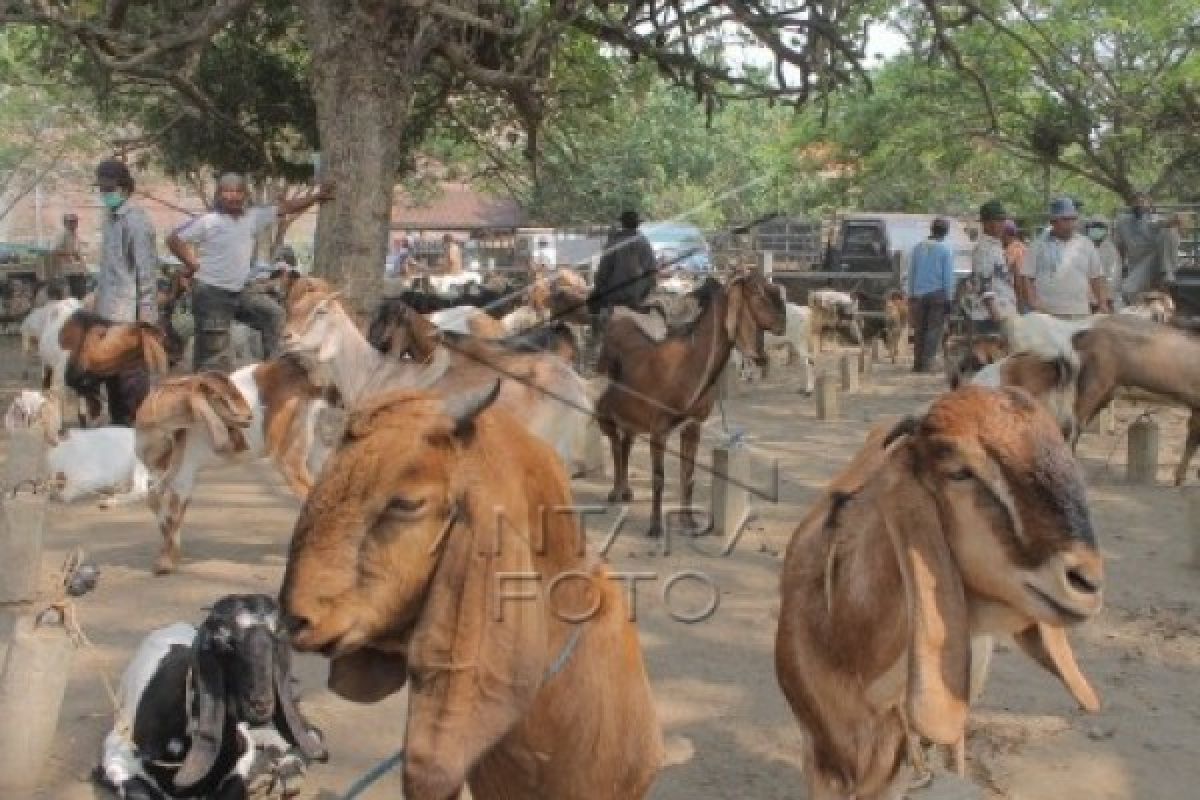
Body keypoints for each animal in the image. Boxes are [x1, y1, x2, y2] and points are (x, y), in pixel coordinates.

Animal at [95, 594, 326, 800]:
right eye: (224, 642)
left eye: (276, 639)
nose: (261, 704)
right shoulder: (116, 755)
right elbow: (138, 791)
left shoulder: (241, 757)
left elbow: (236, 787)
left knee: (307, 734)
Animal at [135, 362, 333, 575]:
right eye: (221, 396)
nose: (249, 416)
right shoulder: (165, 475)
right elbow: (157, 504)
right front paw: (169, 557)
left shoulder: (183, 475)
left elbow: (171, 514)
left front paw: (165, 563)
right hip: (316, 452)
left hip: (288, 459)